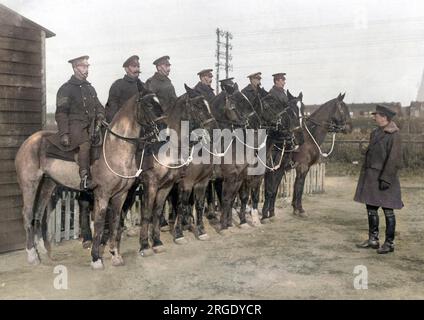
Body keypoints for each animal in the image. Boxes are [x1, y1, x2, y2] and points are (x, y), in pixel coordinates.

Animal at [13, 93, 164, 270]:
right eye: (149, 105)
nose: (164, 130)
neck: (115, 148)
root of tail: (28, 142)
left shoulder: (120, 196)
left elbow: (115, 223)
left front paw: (115, 255)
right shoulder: (102, 194)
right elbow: (99, 225)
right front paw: (96, 258)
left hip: (47, 185)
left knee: (38, 213)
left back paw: (42, 250)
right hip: (30, 185)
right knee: (28, 213)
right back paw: (32, 255)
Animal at [260, 92, 352, 220]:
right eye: (343, 109)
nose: (350, 128)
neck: (309, 138)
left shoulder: (297, 168)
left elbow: (295, 187)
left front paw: (294, 208)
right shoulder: (302, 167)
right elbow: (299, 187)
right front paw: (300, 209)